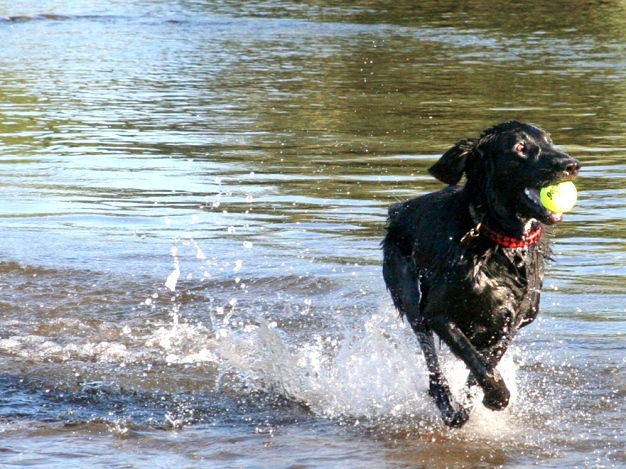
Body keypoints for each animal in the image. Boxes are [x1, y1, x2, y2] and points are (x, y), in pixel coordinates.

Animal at [380, 121, 580, 428]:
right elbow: (474, 360)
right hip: (408, 292)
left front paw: (478, 400)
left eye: (549, 141)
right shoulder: (437, 312)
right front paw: (494, 397)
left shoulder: (514, 319)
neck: (500, 243)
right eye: (520, 147)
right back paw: (446, 404)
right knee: (431, 360)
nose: (572, 165)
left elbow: (484, 365)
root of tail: (400, 209)